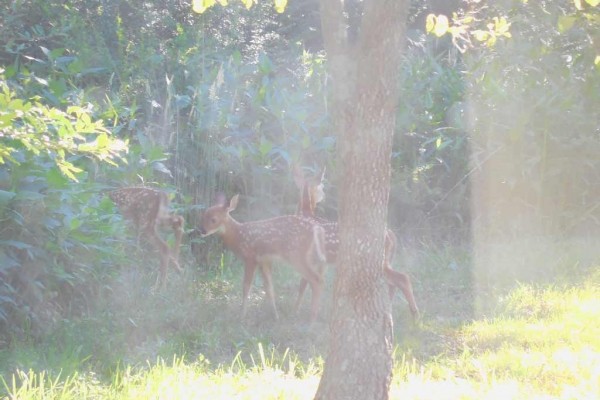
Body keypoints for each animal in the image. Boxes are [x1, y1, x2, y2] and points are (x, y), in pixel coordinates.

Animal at [199, 195, 326, 324]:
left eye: (213, 219)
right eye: (203, 216)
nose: (202, 231)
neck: (238, 236)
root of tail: (318, 230)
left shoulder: (250, 257)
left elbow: (246, 286)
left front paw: (242, 316)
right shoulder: (264, 261)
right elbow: (269, 288)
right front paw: (275, 316)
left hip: (296, 255)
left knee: (317, 280)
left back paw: (311, 321)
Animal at [292, 166, 420, 318]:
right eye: (321, 188)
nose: (324, 195)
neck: (306, 213)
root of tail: (390, 234)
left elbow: (303, 284)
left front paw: (295, 310)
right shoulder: (321, 262)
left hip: (377, 259)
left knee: (402, 278)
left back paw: (415, 314)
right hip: (385, 260)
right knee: (393, 282)